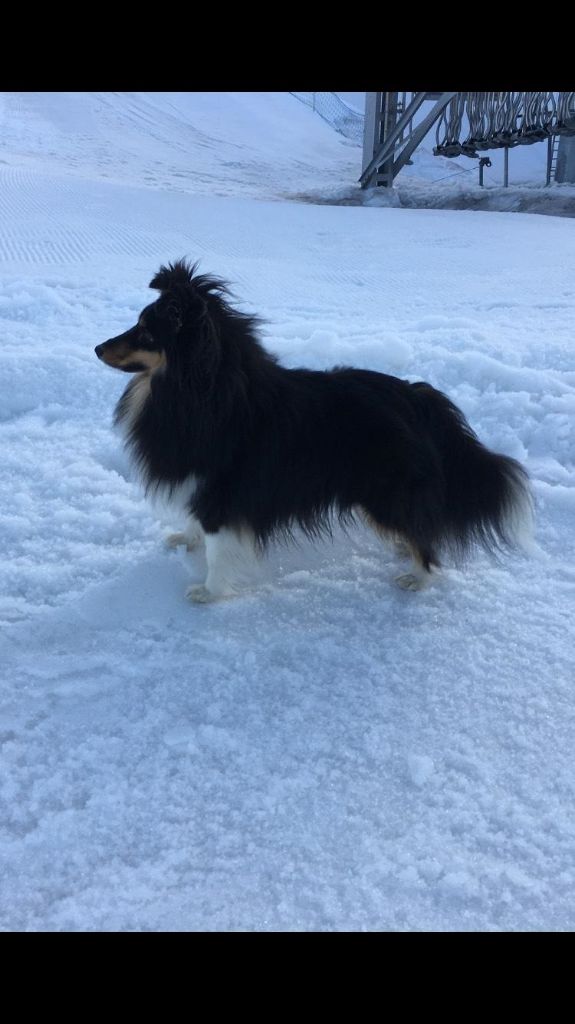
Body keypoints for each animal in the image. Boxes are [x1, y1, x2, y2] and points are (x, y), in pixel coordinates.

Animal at [96, 260, 532, 602]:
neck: (202, 389)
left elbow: (219, 547)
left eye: (146, 332)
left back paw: (417, 577)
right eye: (137, 324)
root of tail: (416, 396)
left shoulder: (223, 488)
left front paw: (209, 592)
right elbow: (196, 519)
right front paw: (187, 539)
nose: (97, 348)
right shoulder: (198, 478)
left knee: (424, 540)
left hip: (385, 491)